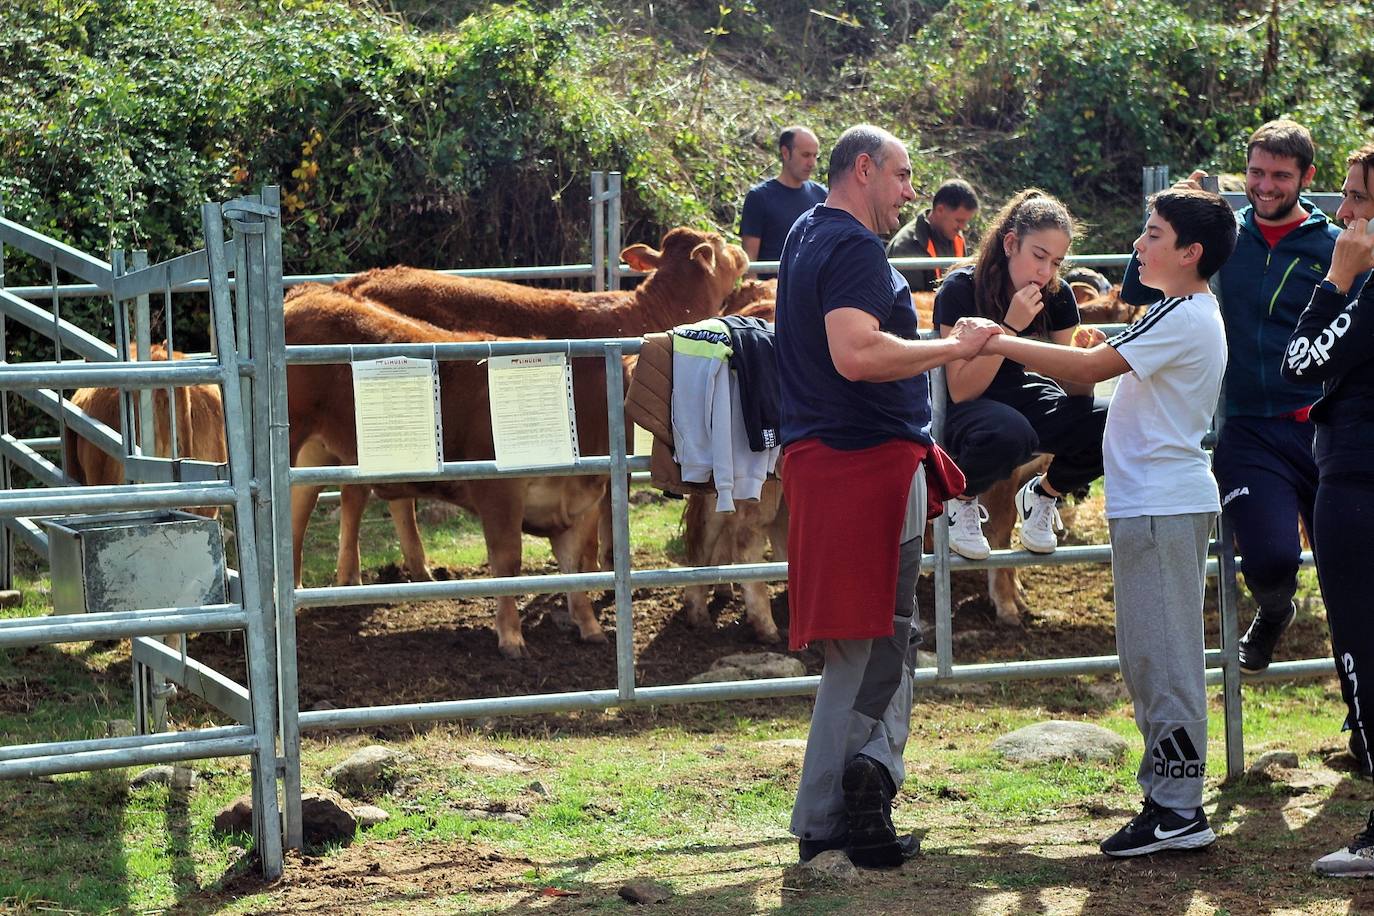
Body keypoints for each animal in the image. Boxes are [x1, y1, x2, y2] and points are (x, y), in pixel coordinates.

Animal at [284, 287, 612, 659]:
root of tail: (309, 293)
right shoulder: (500, 493)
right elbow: (507, 563)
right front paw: (511, 638)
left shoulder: (581, 504)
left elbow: (576, 569)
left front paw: (590, 627)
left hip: (316, 452)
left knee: (300, 509)